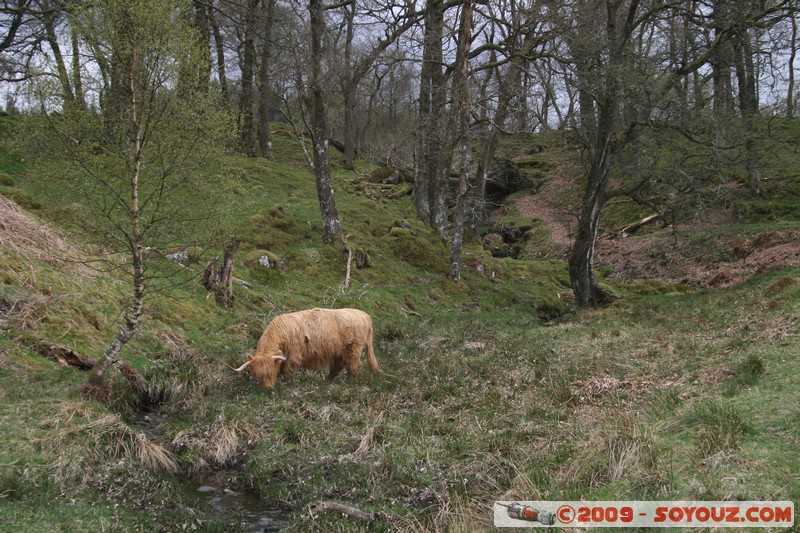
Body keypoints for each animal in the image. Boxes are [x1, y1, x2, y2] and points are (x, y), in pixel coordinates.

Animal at [234, 308, 382, 386]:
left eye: (270, 373)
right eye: (257, 376)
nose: (267, 389)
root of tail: (364, 315)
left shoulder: (294, 356)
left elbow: (288, 370)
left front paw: (286, 384)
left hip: (353, 349)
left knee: (354, 366)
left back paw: (349, 384)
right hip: (339, 352)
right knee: (337, 367)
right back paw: (327, 382)